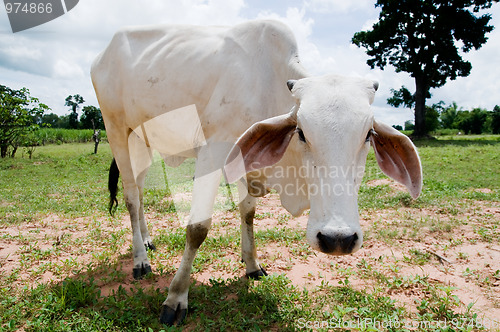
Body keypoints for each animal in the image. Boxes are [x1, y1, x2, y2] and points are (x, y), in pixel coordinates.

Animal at [91, 19, 422, 326]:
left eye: (368, 135)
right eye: (301, 132)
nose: (337, 238)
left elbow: (248, 213)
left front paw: (251, 264)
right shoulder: (212, 153)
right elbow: (198, 229)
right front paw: (176, 297)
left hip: (141, 140)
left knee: (139, 190)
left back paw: (147, 240)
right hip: (116, 130)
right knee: (131, 197)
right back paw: (141, 260)